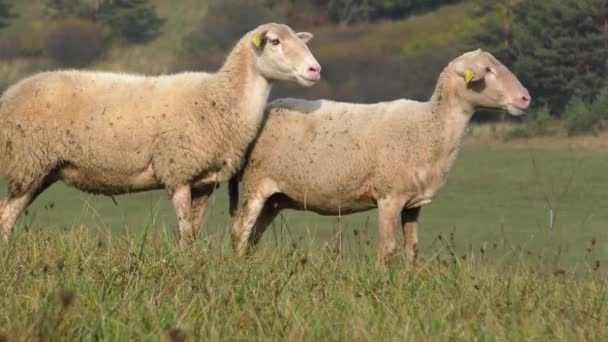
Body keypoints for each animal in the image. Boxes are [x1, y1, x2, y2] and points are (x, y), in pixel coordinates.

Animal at [0, 22, 324, 246]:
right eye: (275, 41)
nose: (315, 69)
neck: (220, 99)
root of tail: (9, 95)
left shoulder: (203, 181)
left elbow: (193, 233)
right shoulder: (177, 170)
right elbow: (184, 231)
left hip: (39, 171)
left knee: (7, 216)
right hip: (28, 162)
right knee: (5, 217)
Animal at [230, 48, 528, 264]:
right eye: (487, 70)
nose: (526, 98)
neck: (430, 126)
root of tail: (264, 110)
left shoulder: (413, 203)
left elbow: (412, 249)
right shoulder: (389, 197)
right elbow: (388, 250)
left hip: (276, 198)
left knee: (252, 237)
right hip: (257, 183)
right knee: (240, 231)